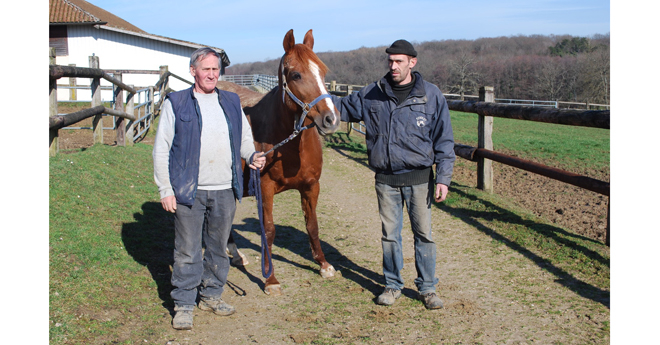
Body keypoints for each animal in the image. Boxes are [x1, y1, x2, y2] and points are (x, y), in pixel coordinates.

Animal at [218, 28, 338, 294]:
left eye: (323, 71)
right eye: (296, 74)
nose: (331, 119)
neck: (290, 145)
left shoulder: (311, 186)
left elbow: (312, 225)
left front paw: (324, 265)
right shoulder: (265, 189)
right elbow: (269, 231)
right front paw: (270, 279)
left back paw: (236, 255)